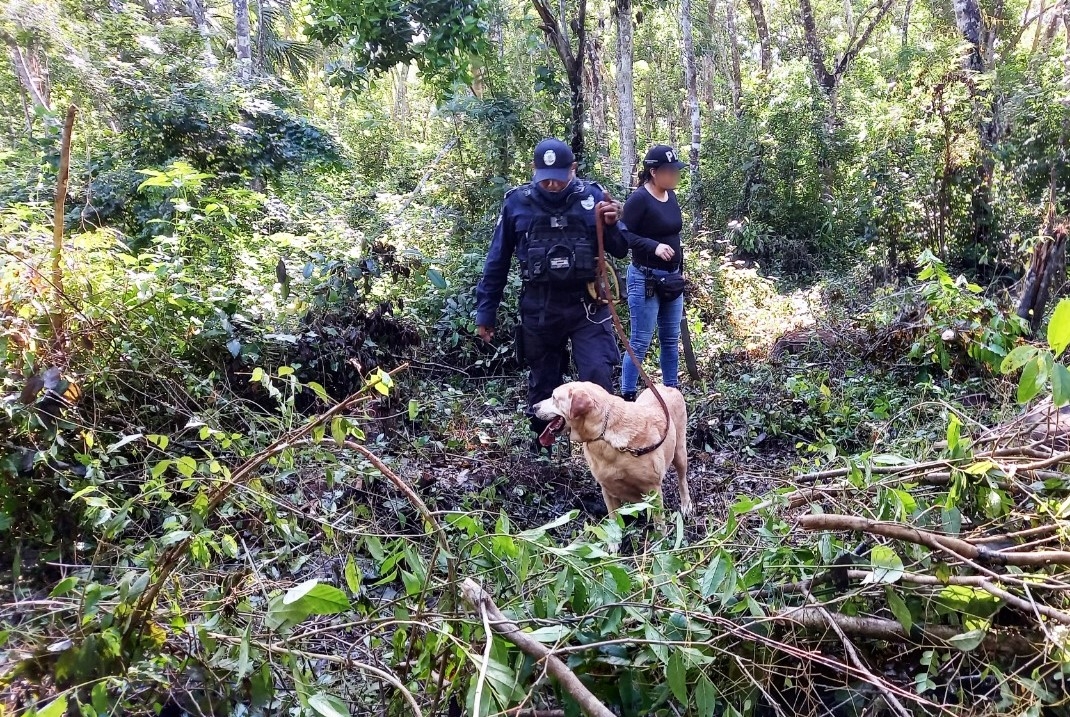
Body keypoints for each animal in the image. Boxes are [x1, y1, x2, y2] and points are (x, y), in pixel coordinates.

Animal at [535, 385, 693, 520]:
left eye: (554, 397)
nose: (533, 407)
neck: (604, 434)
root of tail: (667, 387)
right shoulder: (607, 490)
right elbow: (614, 522)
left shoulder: (653, 490)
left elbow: (659, 524)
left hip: (680, 452)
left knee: (682, 480)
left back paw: (686, 504)